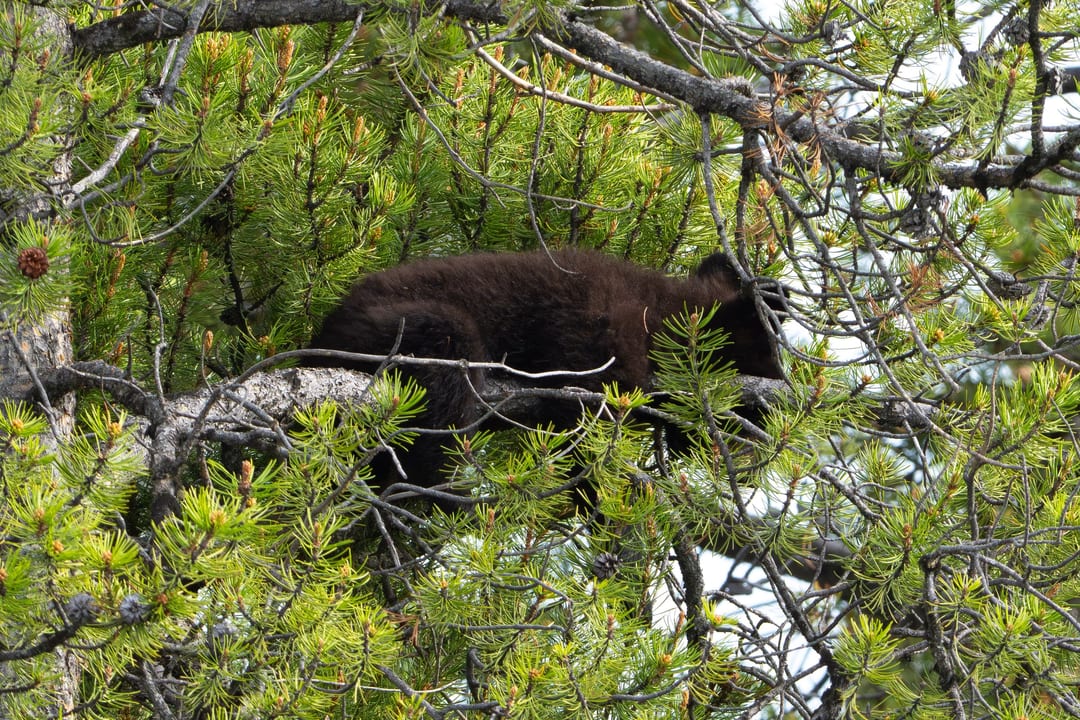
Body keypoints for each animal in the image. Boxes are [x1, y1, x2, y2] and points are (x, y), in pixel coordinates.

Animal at [305, 249, 785, 505]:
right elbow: (597, 403)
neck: (663, 313)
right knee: (451, 365)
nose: (757, 462)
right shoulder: (602, 322)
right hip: (401, 325)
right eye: (755, 410)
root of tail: (322, 332)